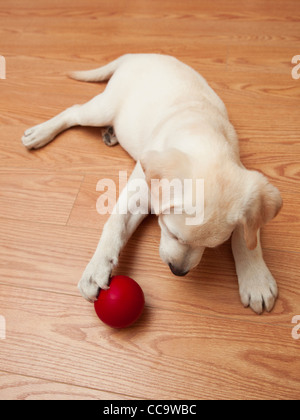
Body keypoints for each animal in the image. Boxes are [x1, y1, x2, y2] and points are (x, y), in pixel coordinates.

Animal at [22, 54, 282, 314]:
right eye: (171, 232)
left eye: (212, 246)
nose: (178, 272)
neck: (203, 133)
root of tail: (139, 54)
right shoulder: (137, 192)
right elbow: (114, 224)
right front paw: (96, 270)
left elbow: (248, 238)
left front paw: (256, 279)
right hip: (101, 109)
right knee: (74, 111)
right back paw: (40, 132)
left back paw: (110, 133)